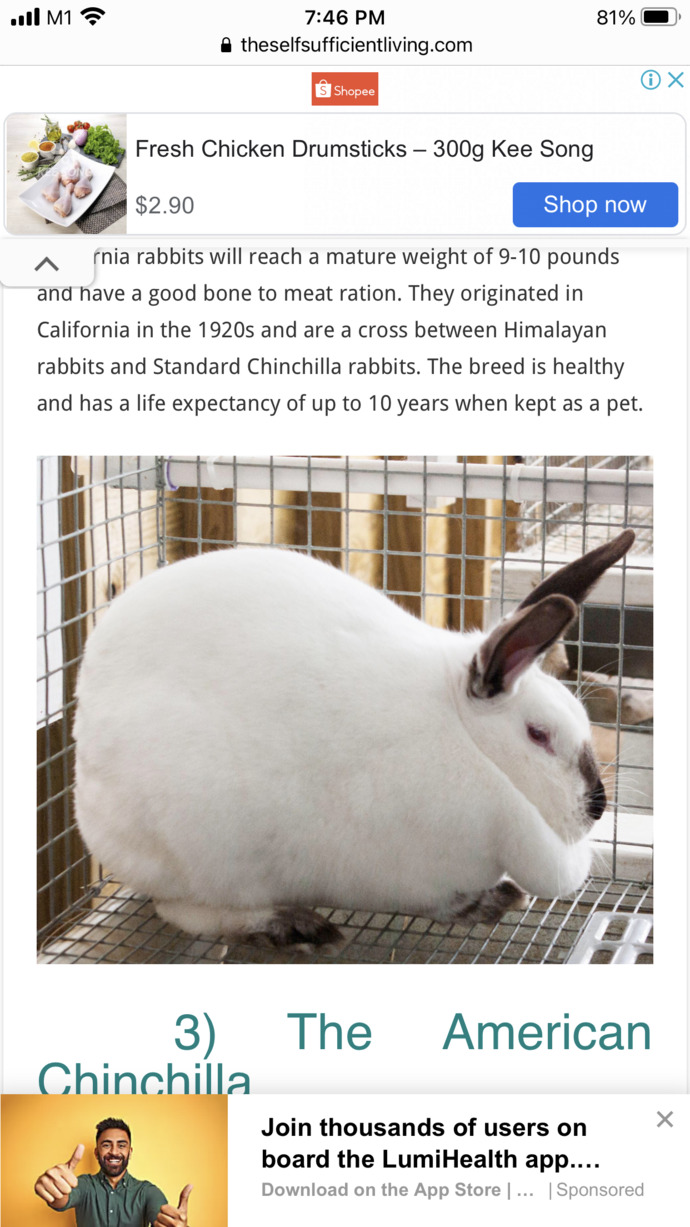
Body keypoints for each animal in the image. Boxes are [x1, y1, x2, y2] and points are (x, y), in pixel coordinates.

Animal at [74, 529, 634, 948]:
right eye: (539, 735)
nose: (597, 807)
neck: (467, 740)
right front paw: (486, 901)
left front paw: (493, 898)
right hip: (200, 849)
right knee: (182, 908)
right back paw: (288, 925)